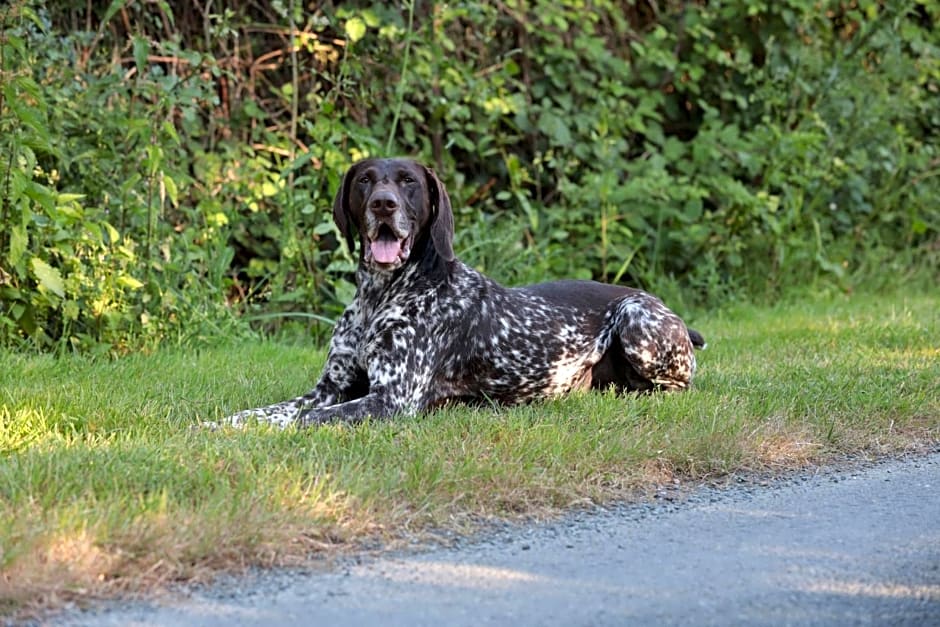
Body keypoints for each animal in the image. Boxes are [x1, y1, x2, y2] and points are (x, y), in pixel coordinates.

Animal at [224, 159, 700, 430]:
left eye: (408, 182)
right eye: (365, 181)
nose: (383, 204)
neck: (381, 295)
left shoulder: (393, 400)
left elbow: (305, 419)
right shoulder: (330, 388)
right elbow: (267, 411)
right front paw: (222, 425)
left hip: (637, 318)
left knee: (678, 387)